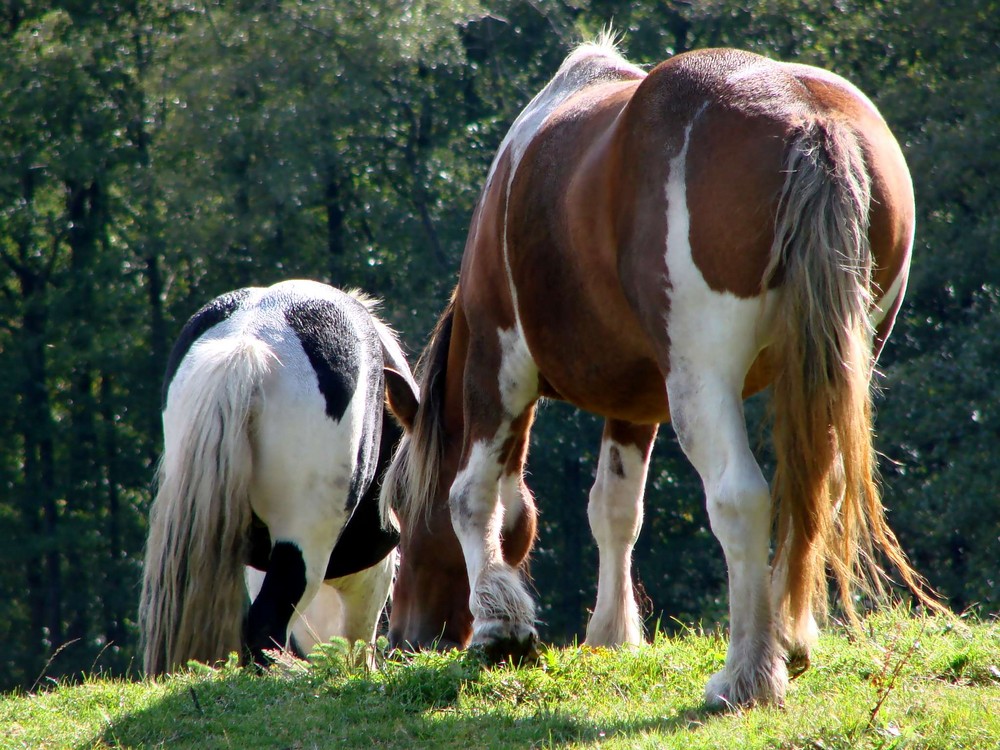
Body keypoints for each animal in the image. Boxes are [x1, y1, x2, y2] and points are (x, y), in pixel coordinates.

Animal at [380, 38, 936, 708]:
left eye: (401, 511)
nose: (405, 638)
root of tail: (809, 118)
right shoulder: (635, 401)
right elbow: (615, 508)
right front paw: (612, 634)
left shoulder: (499, 359)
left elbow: (473, 495)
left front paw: (500, 626)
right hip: (837, 366)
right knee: (816, 490)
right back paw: (787, 640)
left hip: (701, 382)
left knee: (740, 498)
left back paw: (747, 673)